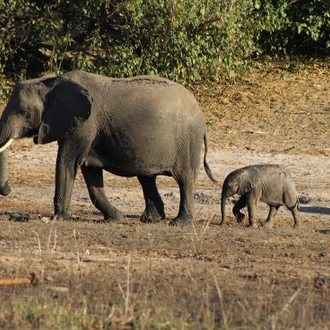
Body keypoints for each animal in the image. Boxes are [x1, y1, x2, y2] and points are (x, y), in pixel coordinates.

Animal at [0, 71, 217, 226]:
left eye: (24, 113)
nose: (8, 190)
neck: (51, 82)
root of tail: (201, 115)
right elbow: (90, 170)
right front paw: (115, 218)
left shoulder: (84, 124)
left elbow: (68, 160)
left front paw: (59, 218)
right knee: (147, 179)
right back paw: (150, 219)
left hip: (187, 140)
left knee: (184, 178)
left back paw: (179, 223)